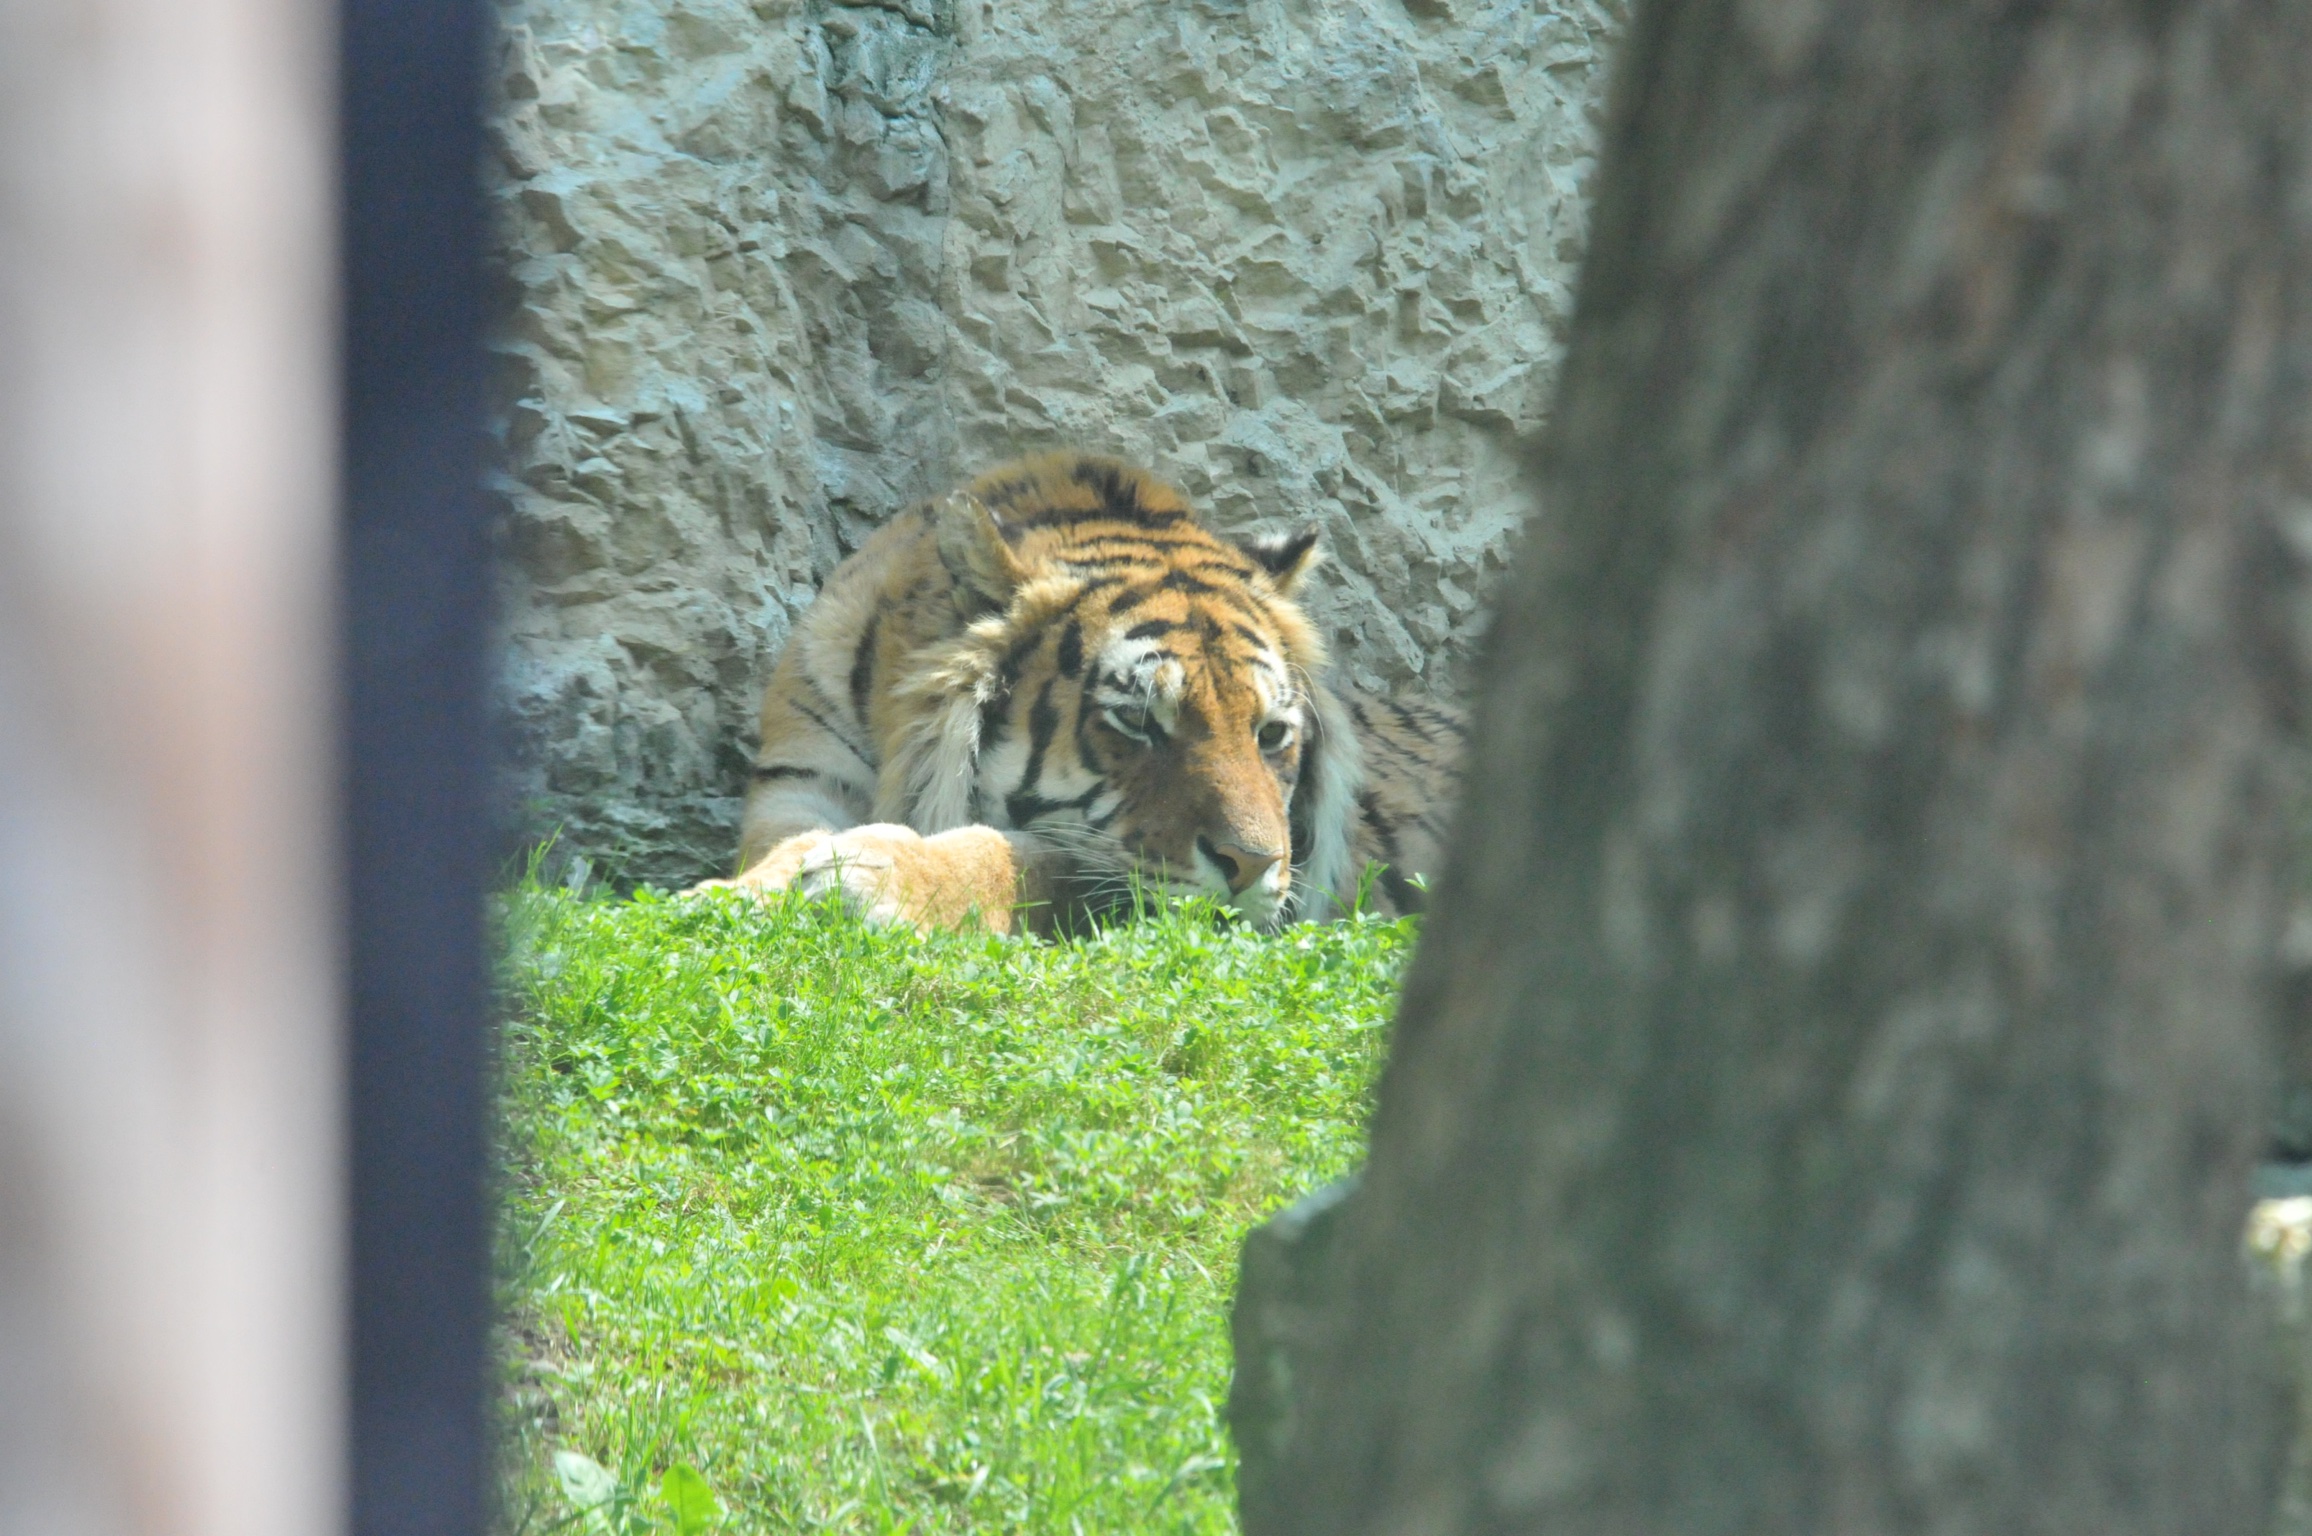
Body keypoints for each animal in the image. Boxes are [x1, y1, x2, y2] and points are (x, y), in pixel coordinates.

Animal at [700, 452, 1463, 936]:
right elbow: (782, 848)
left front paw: (878, 873)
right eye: (1137, 723)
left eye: (1270, 734)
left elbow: (1017, 855)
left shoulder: (1101, 867)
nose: (1253, 867)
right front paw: (730, 895)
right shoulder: (800, 782)